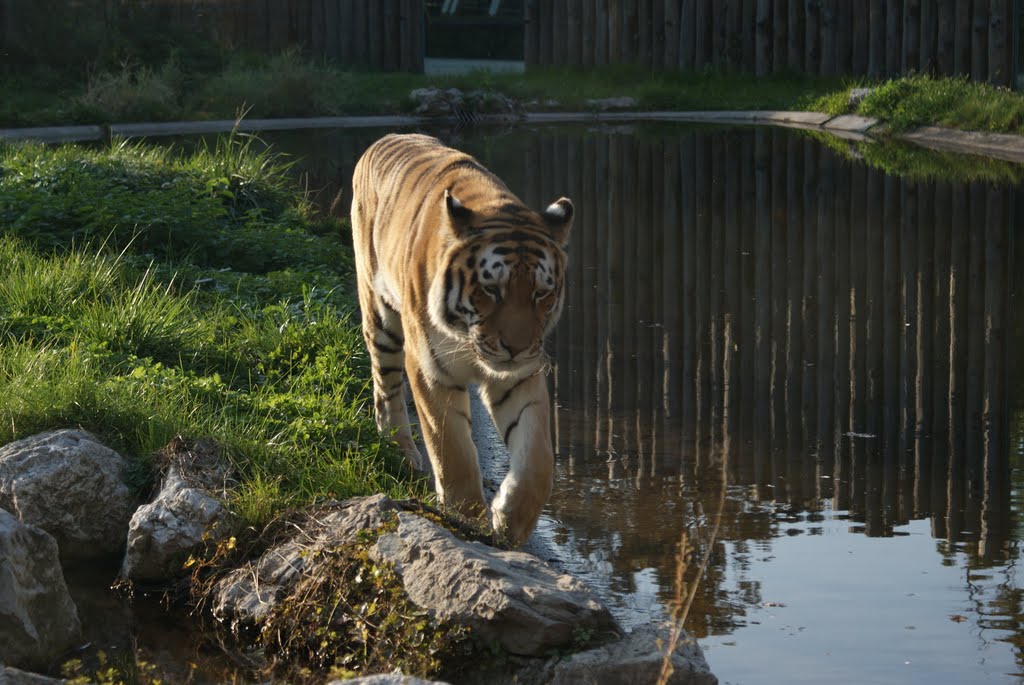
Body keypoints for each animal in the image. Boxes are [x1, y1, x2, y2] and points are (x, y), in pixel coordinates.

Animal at [350, 131, 577, 540]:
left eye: (541, 293)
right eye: (491, 289)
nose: (516, 347)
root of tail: (386, 137)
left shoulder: (521, 374)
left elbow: (537, 458)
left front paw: (512, 522)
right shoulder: (430, 368)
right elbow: (451, 451)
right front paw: (466, 518)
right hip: (380, 315)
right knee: (385, 387)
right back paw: (402, 453)